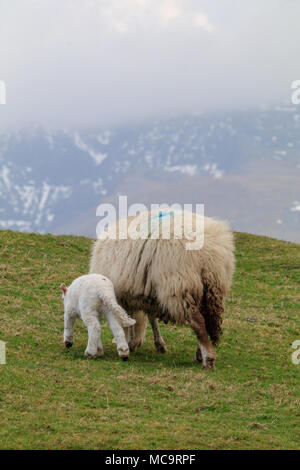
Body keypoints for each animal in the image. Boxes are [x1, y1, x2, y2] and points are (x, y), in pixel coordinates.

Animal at [89, 211, 234, 370]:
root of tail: (209, 251)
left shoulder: (124, 295)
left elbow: (131, 320)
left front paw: (129, 343)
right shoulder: (148, 294)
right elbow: (151, 318)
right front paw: (158, 344)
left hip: (180, 285)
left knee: (198, 322)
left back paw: (208, 358)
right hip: (212, 287)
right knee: (207, 320)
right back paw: (200, 353)